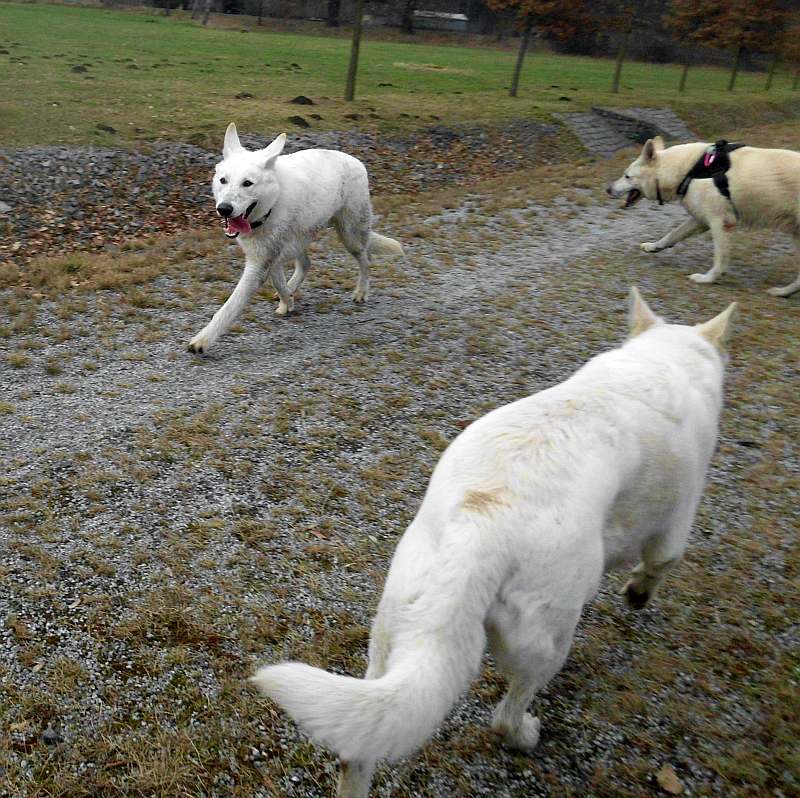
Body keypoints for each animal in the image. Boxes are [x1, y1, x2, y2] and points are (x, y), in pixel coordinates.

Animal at [186, 123, 400, 354]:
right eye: (223, 180)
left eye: (247, 183)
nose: (224, 209)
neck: (272, 204)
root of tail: (356, 161)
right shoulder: (268, 255)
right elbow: (278, 282)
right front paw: (287, 302)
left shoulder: (260, 263)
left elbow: (229, 307)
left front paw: (203, 339)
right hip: (301, 238)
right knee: (306, 263)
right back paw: (292, 287)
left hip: (350, 237)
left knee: (366, 260)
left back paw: (361, 292)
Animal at [250, 290, 736, 798]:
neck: (663, 358)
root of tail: (478, 527)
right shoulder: (675, 526)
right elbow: (658, 566)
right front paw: (638, 594)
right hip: (544, 638)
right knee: (507, 713)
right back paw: (525, 734)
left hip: (393, 630)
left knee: (356, 749)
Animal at [608, 136, 800, 298]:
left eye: (627, 176)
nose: (607, 189)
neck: (689, 171)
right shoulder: (700, 220)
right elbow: (672, 235)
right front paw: (654, 246)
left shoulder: (719, 223)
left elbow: (720, 261)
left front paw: (707, 279)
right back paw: (783, 292)